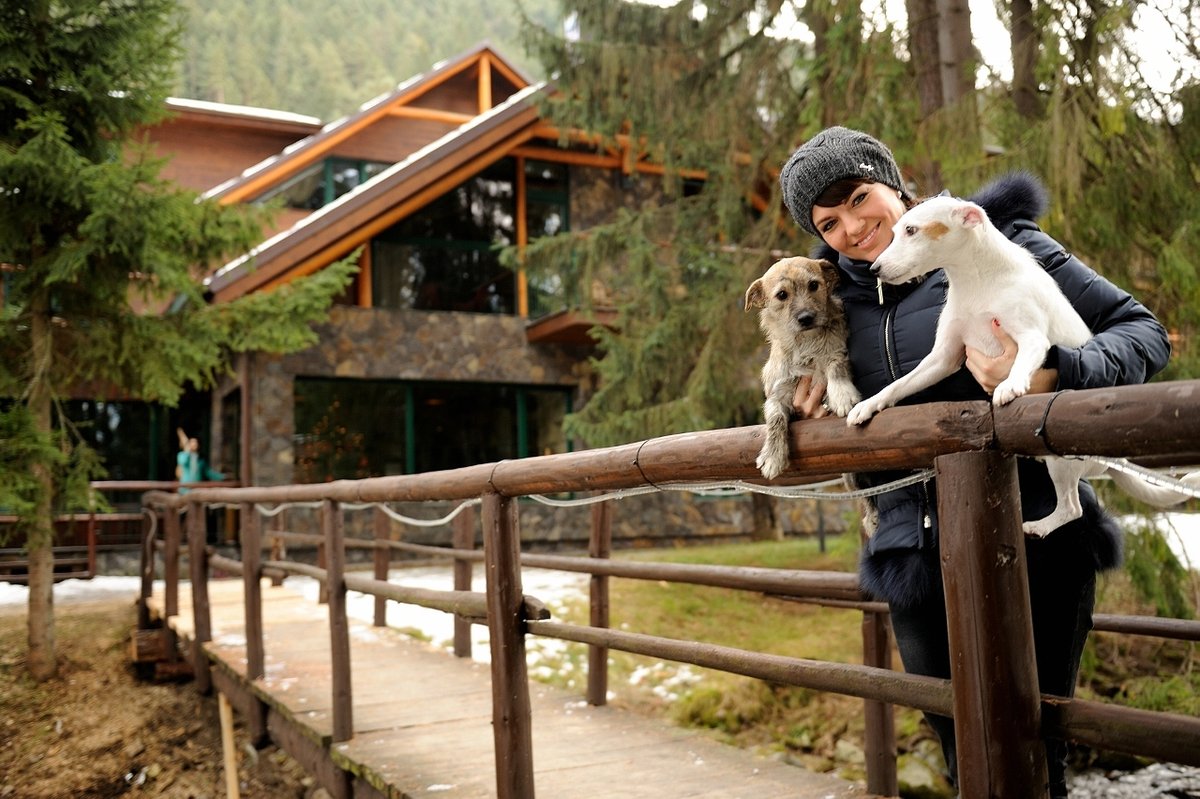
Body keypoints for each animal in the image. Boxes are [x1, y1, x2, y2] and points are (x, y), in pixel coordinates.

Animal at [744, 257, 859, 475]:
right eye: (782, 295)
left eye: (813, 285)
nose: (806, 318)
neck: (804, 345)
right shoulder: (777, 394)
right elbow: (775, 418)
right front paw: (773, 456)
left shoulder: (838, 349)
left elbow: (835, 365)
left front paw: (842, 395)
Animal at [844, 193, 1200, 535]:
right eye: (894, 232)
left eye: (911, 230)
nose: (875, 268)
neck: (976, 281)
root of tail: (1115, 461)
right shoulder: (943, 357)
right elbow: (898, 385)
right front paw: (868, 406)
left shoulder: (1031, 339)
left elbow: (1020, 364)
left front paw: (1010, 386)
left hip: (1062, 460)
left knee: (1072, 507)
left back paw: (1038, 527)